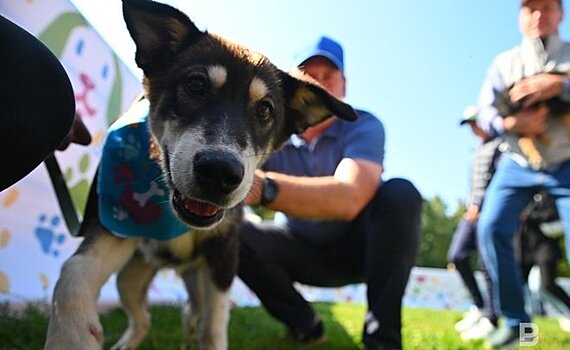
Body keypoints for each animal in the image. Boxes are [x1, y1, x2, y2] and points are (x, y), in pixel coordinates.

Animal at [43, 0, 356, 350]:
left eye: (265, 109)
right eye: (196, 85)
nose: (220, 172)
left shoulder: (223, 255)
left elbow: (215, 324)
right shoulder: (115, 222)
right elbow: (73, 272)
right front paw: (70, 336)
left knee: (192, 312)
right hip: (131, 276)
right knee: (146, 317)